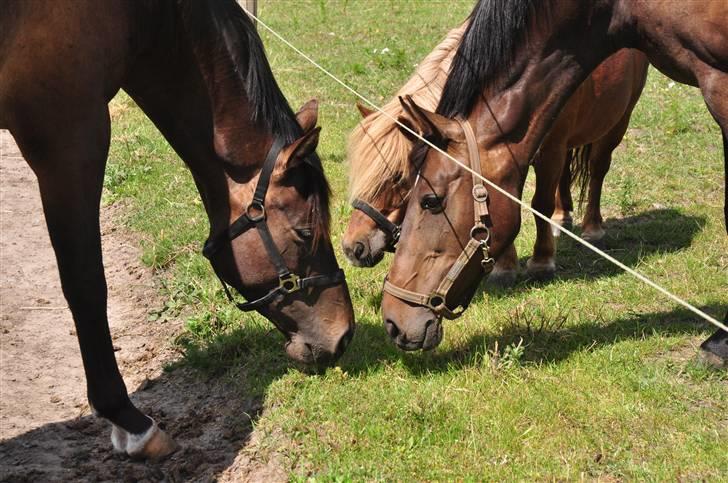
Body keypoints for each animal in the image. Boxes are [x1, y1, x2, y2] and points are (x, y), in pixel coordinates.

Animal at [0, 0, 352, 462]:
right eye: (305, 233)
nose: (344, 335)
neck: (140, 15)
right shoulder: (69, 138)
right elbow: (86, 285)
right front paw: (129, 421)